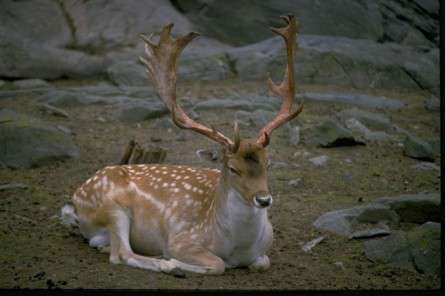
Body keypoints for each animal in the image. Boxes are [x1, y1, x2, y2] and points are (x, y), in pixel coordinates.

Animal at [61, 14, 302, 276]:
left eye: (268, 164)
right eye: (232, 168)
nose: (264, 200)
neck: (237, 246)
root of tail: (76, 197)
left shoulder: (264, 250)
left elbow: (263, 263)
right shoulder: (182, 239)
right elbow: (217, 264)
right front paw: (175, 261)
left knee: (106, 247)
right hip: (113, 208)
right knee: (121, 254)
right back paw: (166, 263)